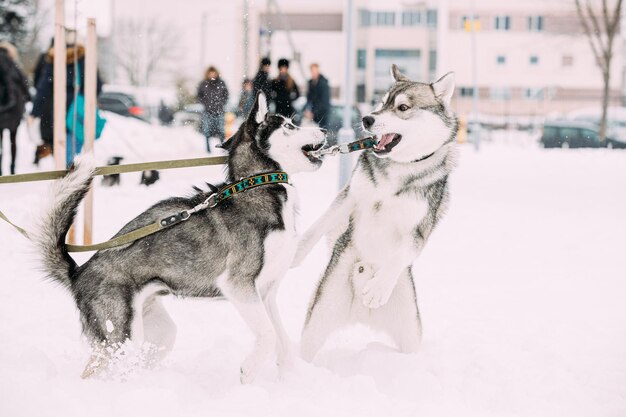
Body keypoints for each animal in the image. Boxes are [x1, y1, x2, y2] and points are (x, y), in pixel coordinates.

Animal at [33, 92, 324, 382]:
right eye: (289, 126)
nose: (323, 130)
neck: (257, 184)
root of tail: (79, 272)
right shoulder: (238, 285)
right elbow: (268, 335)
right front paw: (249, 370)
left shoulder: (266, 292)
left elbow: (281, 340)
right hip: (121, 337)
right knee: (95, 371)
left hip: (158, 333)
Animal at [292, 65, 458, 360]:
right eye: (381, 104)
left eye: (402, 107)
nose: (367, 119)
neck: (398, 169)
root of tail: (361, 315)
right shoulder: (350, 197)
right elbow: (319, 224)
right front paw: (297, 251)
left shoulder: (419, 229)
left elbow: (402, 253)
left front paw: (379, 288)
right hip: (319, 319)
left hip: (410, 333)